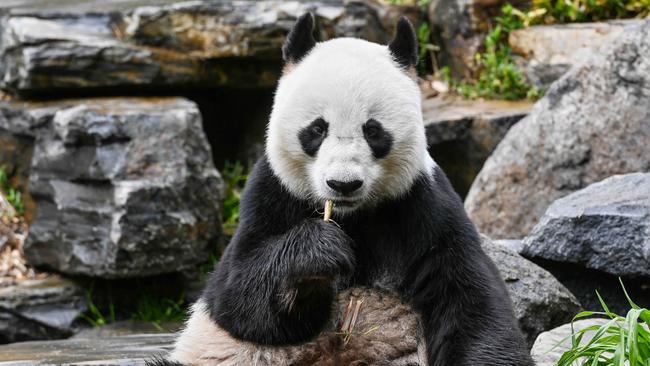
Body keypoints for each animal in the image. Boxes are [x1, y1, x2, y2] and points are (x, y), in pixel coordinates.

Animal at [157, 12, 532, 364]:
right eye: (317, 129)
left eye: (373, 130)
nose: (343, 183)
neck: (354, 217)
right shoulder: (272, 192)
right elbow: (237, 294)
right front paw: (319, 252)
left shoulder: (422, 204)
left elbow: (469, 299)